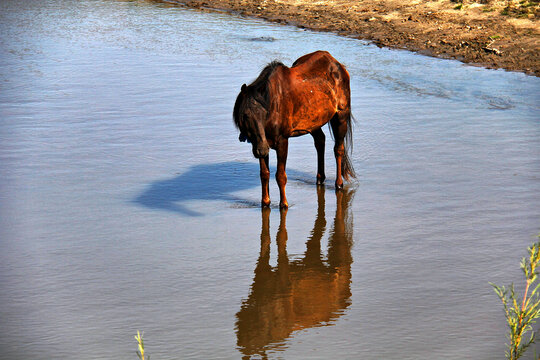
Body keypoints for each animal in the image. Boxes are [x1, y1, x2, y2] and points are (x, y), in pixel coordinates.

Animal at [232, 50, 354, 208]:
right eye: (246, 115)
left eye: (264, 113)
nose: (262, 150)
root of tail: (337, 64)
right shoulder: (259, 142)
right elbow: (264, 174)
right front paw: (265, 202)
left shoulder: (282, 141)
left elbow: (280, 175)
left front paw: (284, 204)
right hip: (314, 122)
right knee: (320, 142)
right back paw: (320, 179)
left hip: (341, 116)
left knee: (338, 149)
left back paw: (338, 184)